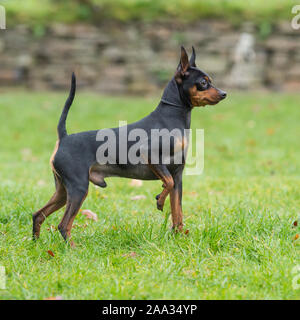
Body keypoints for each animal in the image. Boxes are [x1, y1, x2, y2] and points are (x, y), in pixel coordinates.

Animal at [32, 46, 225, 245]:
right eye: (203, 82)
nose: (223, 94)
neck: (171, 117)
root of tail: (64, 138)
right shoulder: (151, 155)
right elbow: (168, 184)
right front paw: (160, 200)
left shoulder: (178, 176)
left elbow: (177, 211)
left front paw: (178, 237)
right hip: (78, 188)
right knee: (63, 225)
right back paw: (72, 248)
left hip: (63, 191)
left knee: (38, 215)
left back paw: (36, 243)